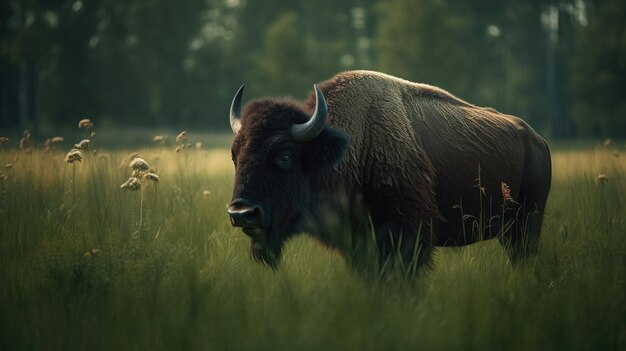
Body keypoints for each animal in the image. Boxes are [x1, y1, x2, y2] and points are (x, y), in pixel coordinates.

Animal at [227, 70, 548, 270]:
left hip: (527, 225)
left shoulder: (406, 235)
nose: (242, 213)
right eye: (234, 156)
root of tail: (537, 139)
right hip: (508, 231)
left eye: (285, 156)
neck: (355, 144)